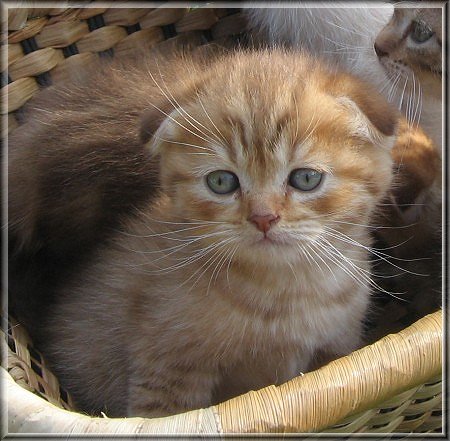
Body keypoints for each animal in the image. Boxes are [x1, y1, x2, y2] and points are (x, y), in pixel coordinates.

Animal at [8, 48, 400, 416]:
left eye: (306, 178)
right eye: (221, 182)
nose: (263, 218)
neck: (286, 295)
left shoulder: (337, 346)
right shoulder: (167, 368)